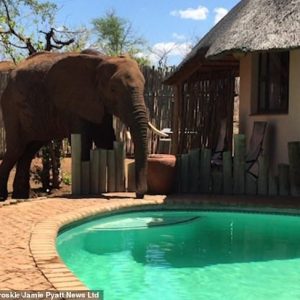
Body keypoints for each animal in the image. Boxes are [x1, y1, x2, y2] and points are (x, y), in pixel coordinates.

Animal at [0, 51, 150, 202]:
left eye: (144, 86)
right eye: (113, 89)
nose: (139, 194)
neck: (103, 60)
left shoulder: (98, 102)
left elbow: (106, 139)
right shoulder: (74, 104)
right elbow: (84, 141)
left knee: (29, 150)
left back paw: (21, 196)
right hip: (12, 106)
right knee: (16, 149)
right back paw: (4, 197)